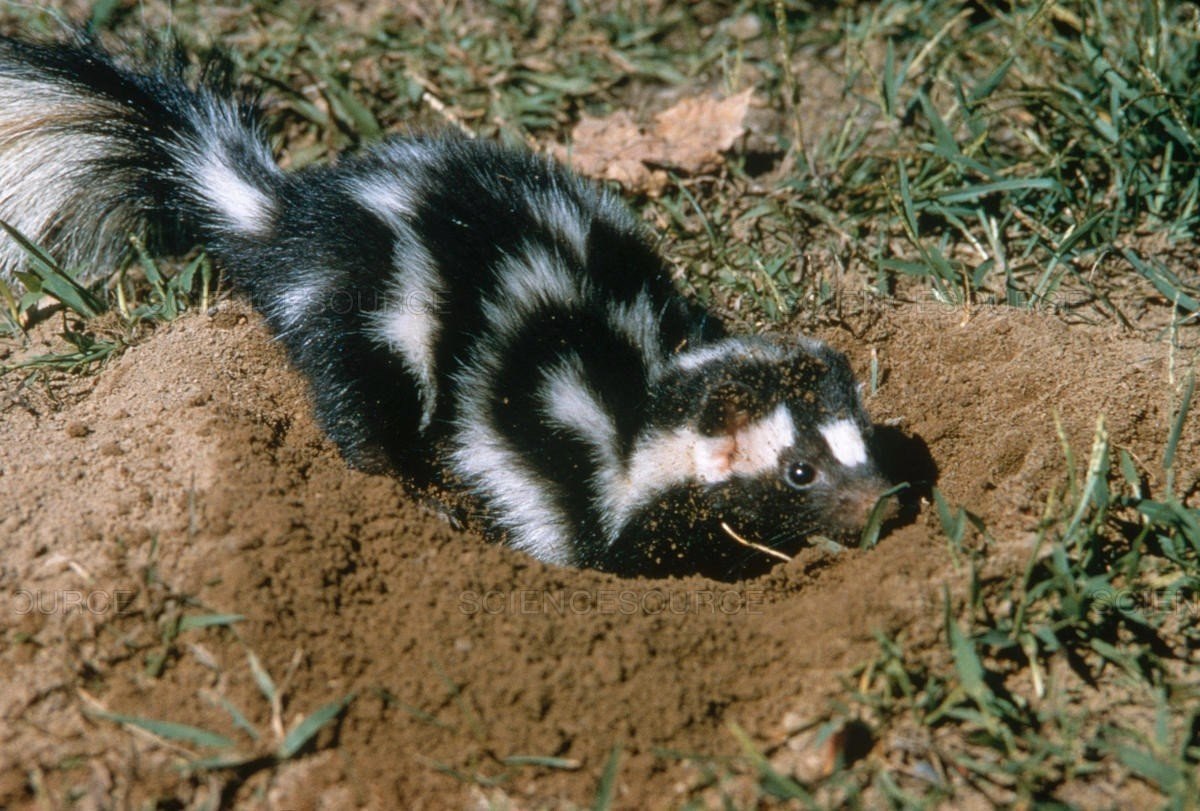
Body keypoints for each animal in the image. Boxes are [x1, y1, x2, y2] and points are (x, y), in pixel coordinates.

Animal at [0, 30, 897, 575]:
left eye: (862, 441)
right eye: (799, 470)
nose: (884, 499)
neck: (639, 413)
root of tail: (290, 214)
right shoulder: (558, 473)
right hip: (381, 314)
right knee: (363, 402)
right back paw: (408, 488)